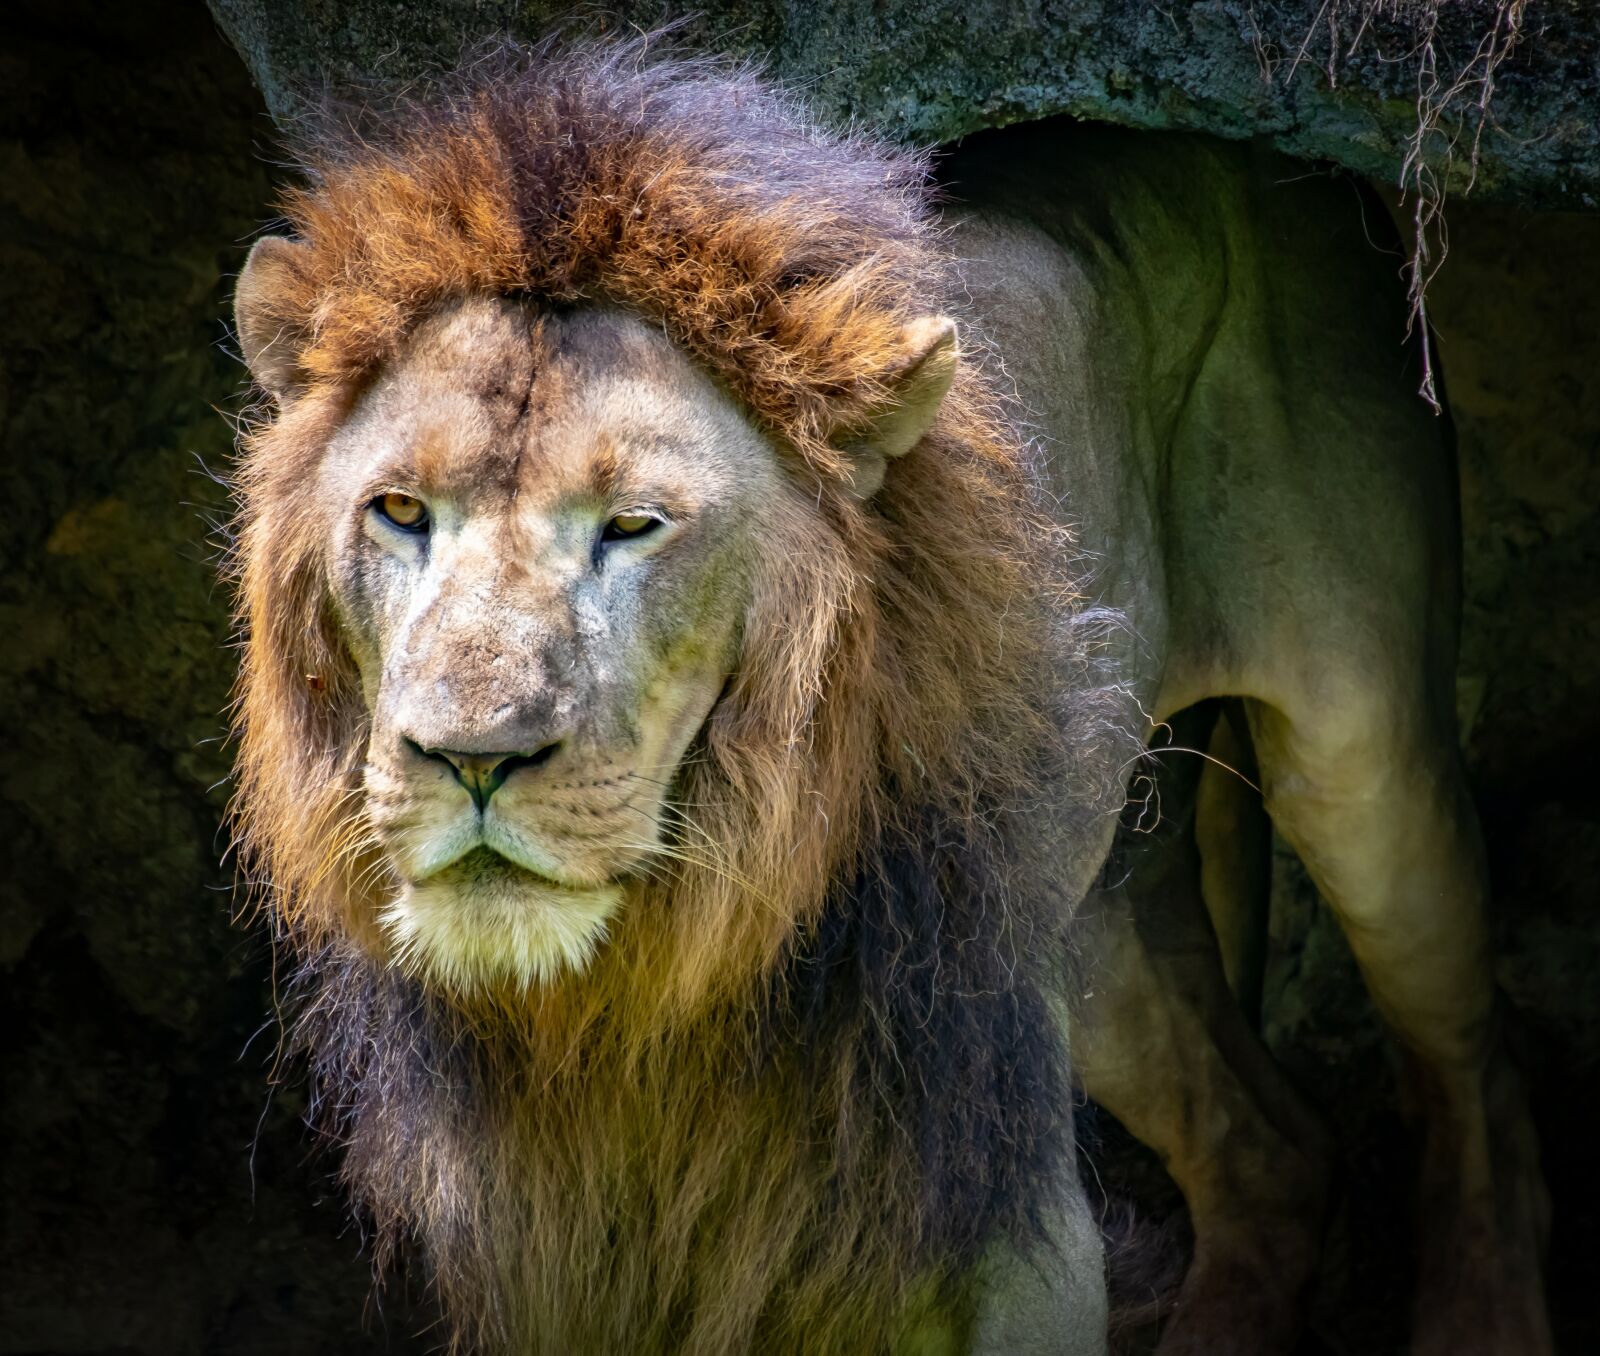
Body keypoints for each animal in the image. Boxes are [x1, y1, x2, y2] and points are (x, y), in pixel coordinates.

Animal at [228, 38, 1549, 1356]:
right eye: (400, 510)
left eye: (634, 526)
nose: (472, 758)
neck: (655, 982)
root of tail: (1252, 152)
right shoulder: (539, 1258)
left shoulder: (997, 1224)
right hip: (1091, 924)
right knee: (1272, 1152)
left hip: (1359, 765)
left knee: (1471, 1064)